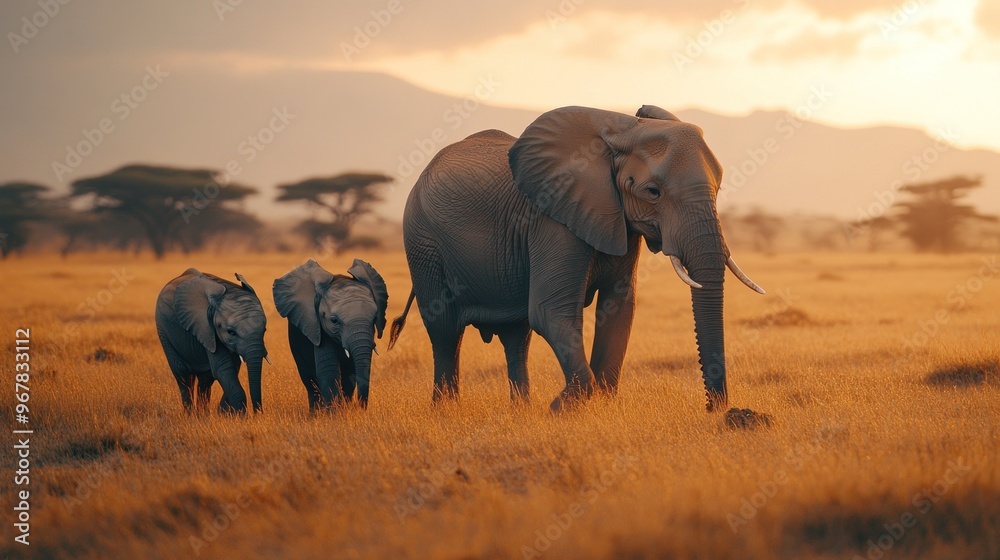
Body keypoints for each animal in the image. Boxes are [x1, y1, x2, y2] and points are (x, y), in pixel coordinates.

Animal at [155, 269, 269, 414]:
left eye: (264, 330)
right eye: (231, 332)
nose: (257, 414)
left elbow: (231, 368)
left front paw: (225, 413)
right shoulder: (207, 329)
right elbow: (223, 369)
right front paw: (239, 416)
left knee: (205, 378)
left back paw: (202, 415)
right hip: (164, 331)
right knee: (183, 374)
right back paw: (190, 415)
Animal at [273, 259, 388, 410]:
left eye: (375, 318)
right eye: (334, 321)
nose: (360, 407)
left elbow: (350, 372)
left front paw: (344, 411)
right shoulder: (318, 329)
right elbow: (329, 370)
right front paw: (334, 413)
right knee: (309, 380)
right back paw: (316, 412)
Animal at [388, 105, 764, 412]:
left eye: (718, 187)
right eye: (652, 192)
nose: (714, 408)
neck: (624, 130)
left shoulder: (619, 221)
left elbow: (619, 309)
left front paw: (603, 405)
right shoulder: (552, 219)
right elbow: (550, 311)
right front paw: (563, 407)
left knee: (515, 335)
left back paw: (521, 409)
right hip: (422, 242)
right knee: (445, 329)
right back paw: (445, 409)